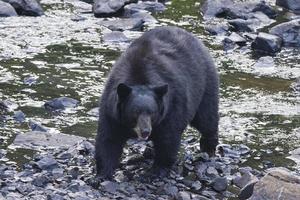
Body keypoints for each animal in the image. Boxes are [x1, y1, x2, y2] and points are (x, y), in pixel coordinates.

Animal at [95, 25, 219, 178]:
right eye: (135, 112)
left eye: (152, 112)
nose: (145, 132)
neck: (139, 77)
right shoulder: (111, 110)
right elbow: (108, 139)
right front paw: (102, 174)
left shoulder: (171, 107)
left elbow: (168, 138)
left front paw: (158, 169)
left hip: (205, 84)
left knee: (206, 118)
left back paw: (208, 148)